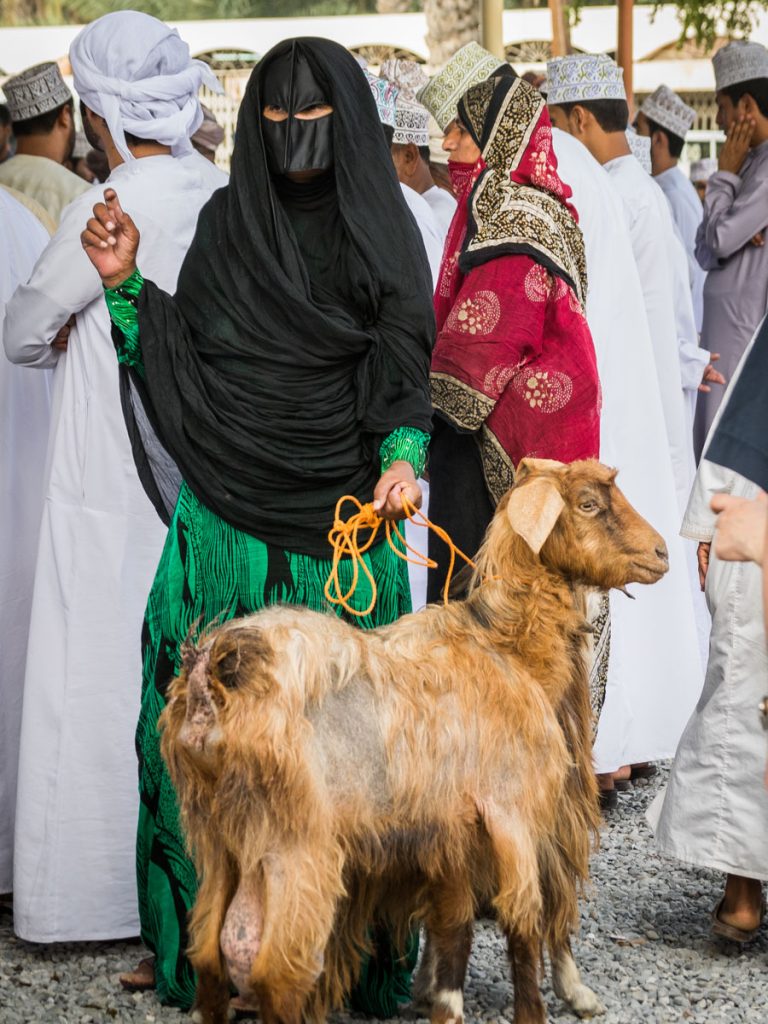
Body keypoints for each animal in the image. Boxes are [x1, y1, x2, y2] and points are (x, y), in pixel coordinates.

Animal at [160, 460, 667, 1024]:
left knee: (208, 952)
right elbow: (524, 924)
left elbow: (455, 924)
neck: (512, 650)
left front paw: (441, 999)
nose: (662, 553)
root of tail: (209, 677)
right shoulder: (512, 811)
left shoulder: (452, 828)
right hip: (296, 845)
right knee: (276, 972)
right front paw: (532, 1008)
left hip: (217, 842)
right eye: (587, 504)